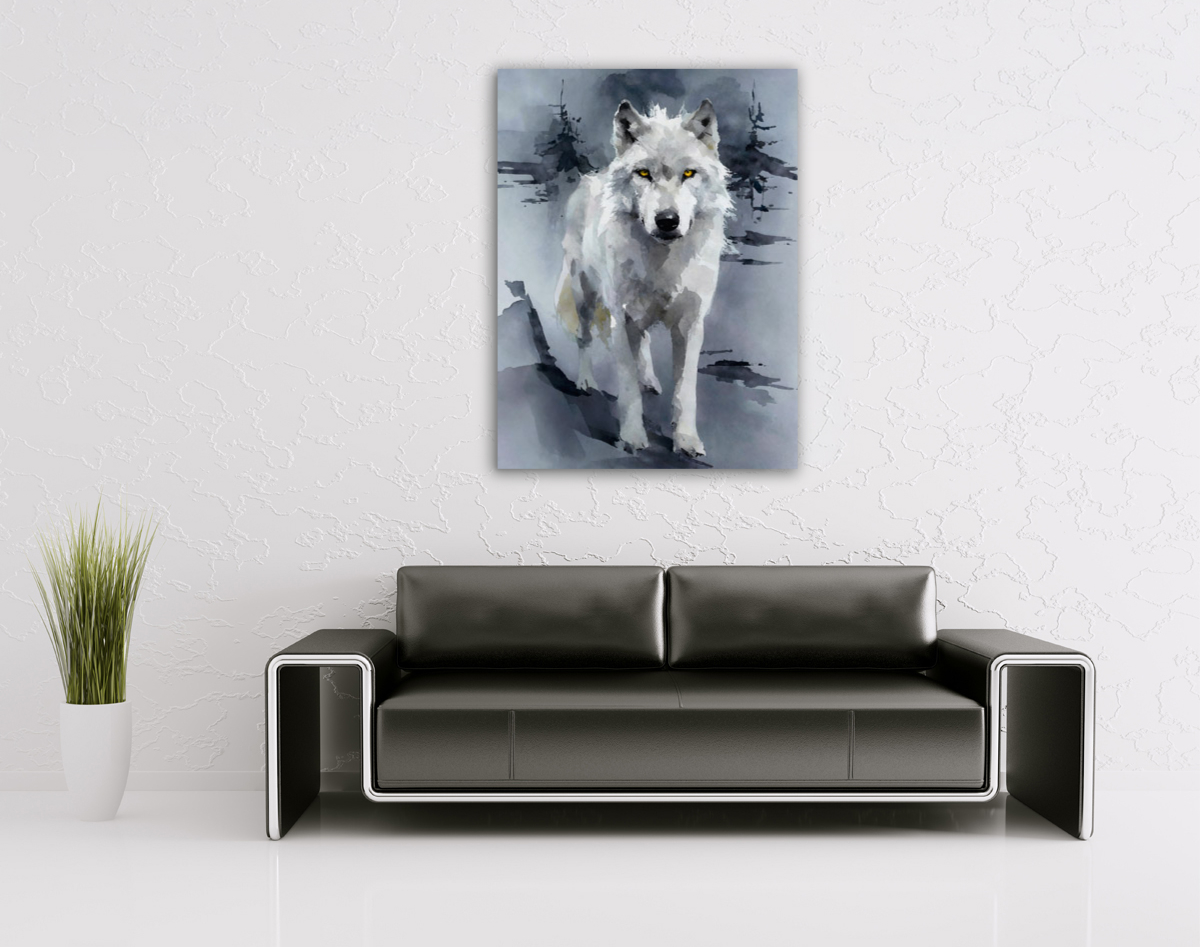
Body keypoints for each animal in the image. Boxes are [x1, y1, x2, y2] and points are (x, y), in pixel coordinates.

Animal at [554, 99, 732, 457]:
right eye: (644, 174)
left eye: (688, 173)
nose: (667, 220)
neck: (663, 262)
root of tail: (590, 178)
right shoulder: (621, 321)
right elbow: (627, 389)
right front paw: (633, 437)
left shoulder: (690, 325)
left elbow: (685, 390)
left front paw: (686, 440)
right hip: (585, 296)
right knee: (584, 337)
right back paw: (585, 381)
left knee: (646, 341)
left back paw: (648, 378)